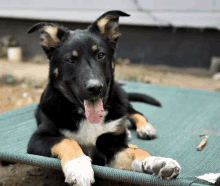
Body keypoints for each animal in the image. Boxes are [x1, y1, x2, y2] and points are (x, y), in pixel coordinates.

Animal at [27, 10, 180, 186]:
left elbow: (135, 151)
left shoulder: (110, 146)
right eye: (70, 60)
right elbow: (66, 141)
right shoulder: (38, 138)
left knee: (135, 113)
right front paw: (78, 166)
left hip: (119, 97)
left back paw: (144, 128)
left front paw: (157, 161)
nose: (95, 88)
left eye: (101, 55)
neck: (84, 116)